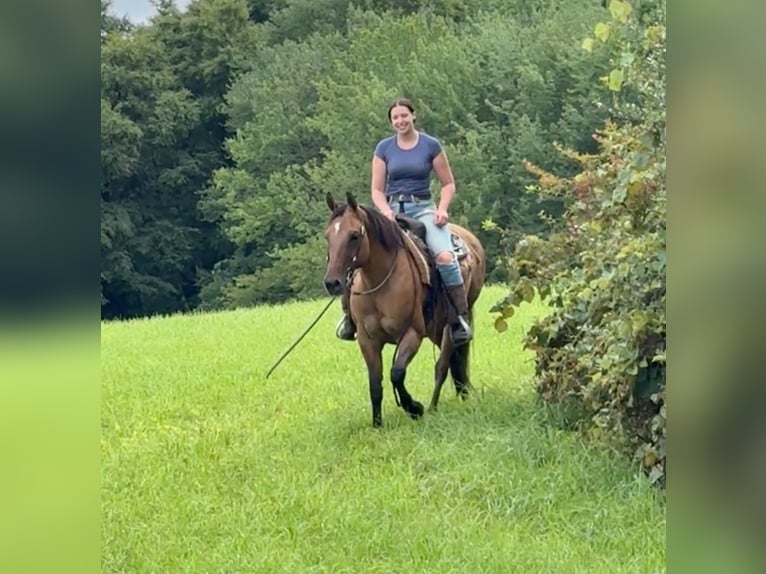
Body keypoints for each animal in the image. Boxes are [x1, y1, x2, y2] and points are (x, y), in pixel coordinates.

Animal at [324, 192, 486, 428]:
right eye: (328, 236)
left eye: (354, 235)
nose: (332, 283)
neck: (380, 282)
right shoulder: (367, 340)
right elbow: (375, 383)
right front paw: (377, 424)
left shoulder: (412, 334)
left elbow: (397, 373)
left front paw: (414, 408)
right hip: (436, 330)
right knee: (455, 363)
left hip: (450, 326)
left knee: (442, 367)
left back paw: (433, 407)